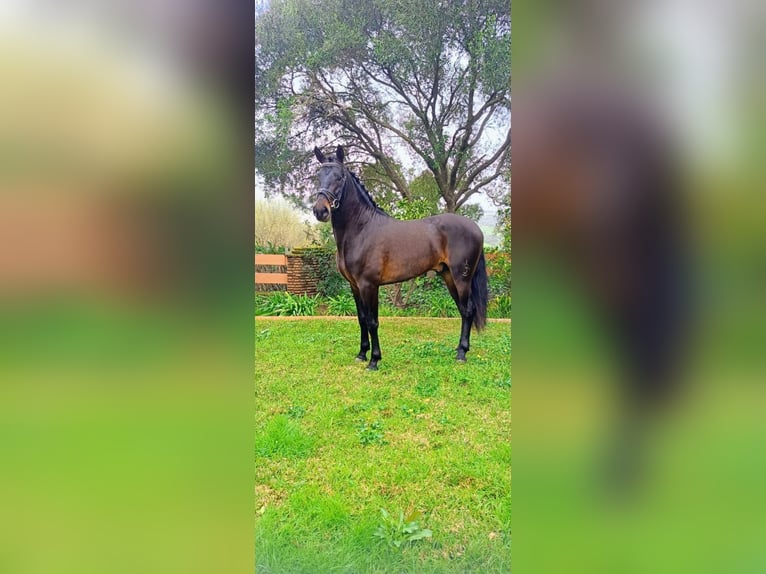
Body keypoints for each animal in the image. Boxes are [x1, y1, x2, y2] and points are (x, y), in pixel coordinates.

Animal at [311, 145, 489, 370]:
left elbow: (372, 321)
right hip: (449, 276)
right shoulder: (354, 286)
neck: (361, 229)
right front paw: (361, 354)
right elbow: (361, 318)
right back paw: (460, 350)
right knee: (463, 310)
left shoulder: (369, 285)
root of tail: (476, 228)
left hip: (462, 279)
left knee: (467, 311)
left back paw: (461, 354)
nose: (320, 210)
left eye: (340, 177)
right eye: (318, 176)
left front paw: (374, 360)